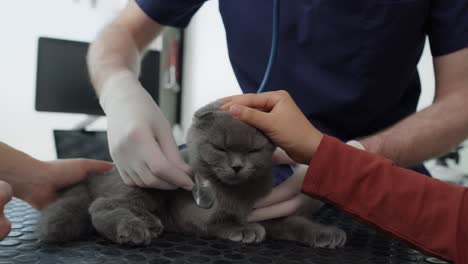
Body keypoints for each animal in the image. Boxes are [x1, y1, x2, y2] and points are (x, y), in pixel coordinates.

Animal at [38, 101, 346, 248]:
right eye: (221, 147)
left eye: (253, 150)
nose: (237, 166)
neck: (236, 193)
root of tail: (98, 175)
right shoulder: (194, 213)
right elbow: (218, 222)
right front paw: (244, 229)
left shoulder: (268, 210)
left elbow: (294, 222)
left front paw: (326, 234)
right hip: (145, 187)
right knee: (101, 205)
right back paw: (132, 229)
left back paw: (150, 223)